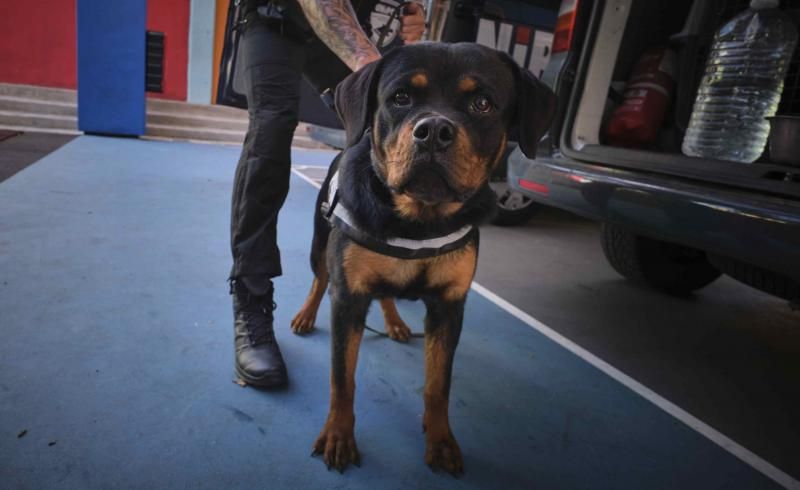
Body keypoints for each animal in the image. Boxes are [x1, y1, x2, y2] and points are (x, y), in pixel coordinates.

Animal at [290, 42, 556, 474]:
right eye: (400, 98)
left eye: (483, 103)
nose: (433, 130)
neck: (420, 220)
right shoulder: (349, 299)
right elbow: (342, 379)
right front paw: (338, 436)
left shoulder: (449, 305)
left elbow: (438, 384)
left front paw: (441, 440)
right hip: (320, 241)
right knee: (319, 279)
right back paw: (306, 315)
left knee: (386, 292)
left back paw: (396, 323)